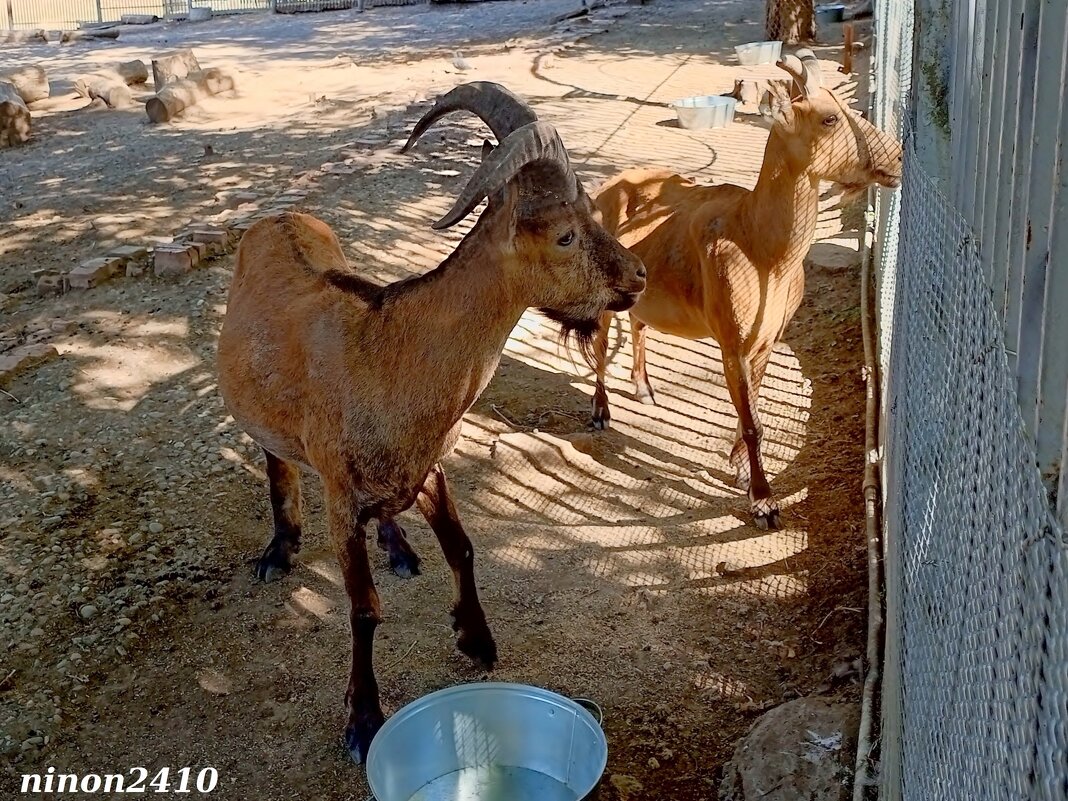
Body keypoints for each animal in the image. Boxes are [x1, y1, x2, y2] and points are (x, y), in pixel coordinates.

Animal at [218, 83, 640, 764]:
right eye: (566, 236)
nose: (638, 278)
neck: (390, 356)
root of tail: (278, 217)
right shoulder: (340, 495)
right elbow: (363, 608)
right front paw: (363, 721)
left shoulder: (431, 466)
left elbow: (462, 547)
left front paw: (478, 641)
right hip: (264, 416)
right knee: (275, 456)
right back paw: (279, 551)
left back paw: (398, 547)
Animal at [589, 53, 905, 534]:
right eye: (830, 118)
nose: (898, 158)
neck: (761, 248)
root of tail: (604, 188)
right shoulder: (731, 341)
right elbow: (753, 421)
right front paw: (764, 502)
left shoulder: (767, 338)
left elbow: (750, 409)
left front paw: (738, 469)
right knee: (602, 341)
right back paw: (601, 412)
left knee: (639, 323)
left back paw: (644, 389)